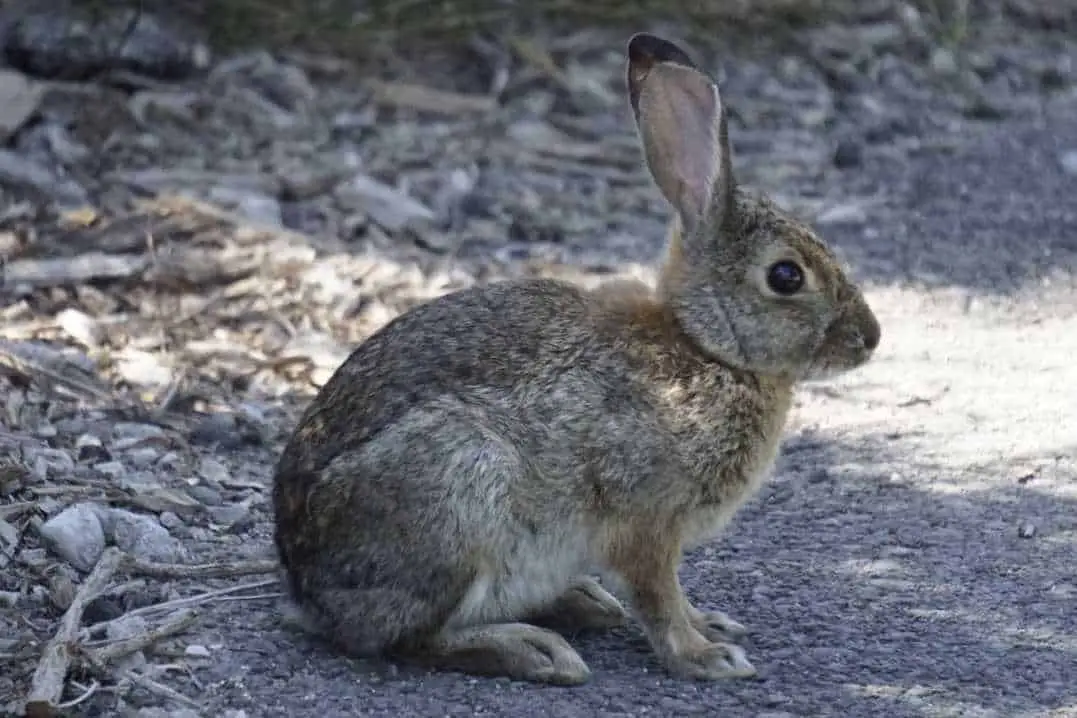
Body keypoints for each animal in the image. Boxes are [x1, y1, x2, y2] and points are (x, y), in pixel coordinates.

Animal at [273, 33, 878, 684]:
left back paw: (581, 603)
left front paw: (711, 625)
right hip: (458, 489)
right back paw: (534, 649)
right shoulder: (647, 521)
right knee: (412, 638)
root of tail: (307, 587)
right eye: (786, 276)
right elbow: (659, 596)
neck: (704, 346)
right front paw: (703, 656)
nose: (870, 337)